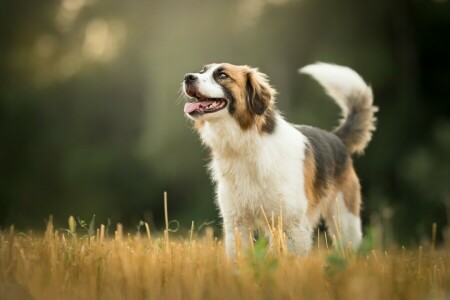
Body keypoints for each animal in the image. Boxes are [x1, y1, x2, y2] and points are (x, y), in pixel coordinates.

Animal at [182, 62, 376, 256]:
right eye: (201, 71)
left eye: (222, 75)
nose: (187, 77)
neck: (247, 146)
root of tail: (336, 138)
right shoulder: (237, 224)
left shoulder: (293, 225)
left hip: (345, 220)